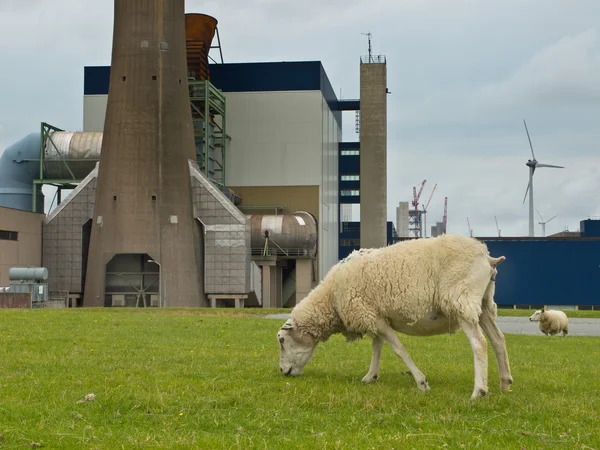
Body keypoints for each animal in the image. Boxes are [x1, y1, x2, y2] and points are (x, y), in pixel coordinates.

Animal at [274, 234, 512, 400]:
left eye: (282, 340)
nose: (282, 371)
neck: (331, 297)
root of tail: (487, 256)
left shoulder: (374, 318)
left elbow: (398, 349)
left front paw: (421, 382)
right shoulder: (374, 315)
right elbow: (377, 347)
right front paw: (371, 376)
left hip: (461, 299)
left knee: (479, 343)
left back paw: (479, 391)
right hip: (484, 305)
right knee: (498, 339)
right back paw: (504, 383)